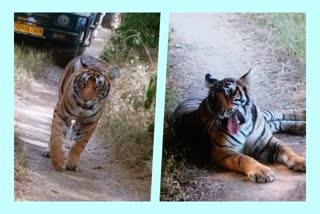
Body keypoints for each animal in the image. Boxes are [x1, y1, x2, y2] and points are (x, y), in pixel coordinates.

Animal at [174, 70, 306, 182]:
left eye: (231, 93)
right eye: (214, 98)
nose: (220, 112)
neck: (244, 125)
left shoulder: (267, 142)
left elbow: (286, 149)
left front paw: (301, 161)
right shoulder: (223, 151)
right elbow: (244, 159)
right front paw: (262, 172)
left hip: (266, 115)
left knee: (277, 113)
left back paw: (303, 115)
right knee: (276, 123)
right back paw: (302, 127)